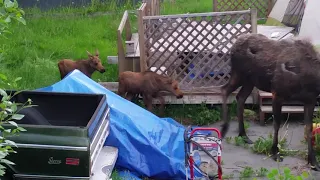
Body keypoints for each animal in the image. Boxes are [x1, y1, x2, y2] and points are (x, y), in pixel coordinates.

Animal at [220, 33, 320, 171]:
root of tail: (234, 45)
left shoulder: (310, 100)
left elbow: (309, 129)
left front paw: (313, 161)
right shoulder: (277, 94)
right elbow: (277, 124)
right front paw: (275, 152)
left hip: (249, 81)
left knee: (239, 97)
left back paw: (243, 135)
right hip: (239, 74)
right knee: (224, 89)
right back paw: (224, 128)